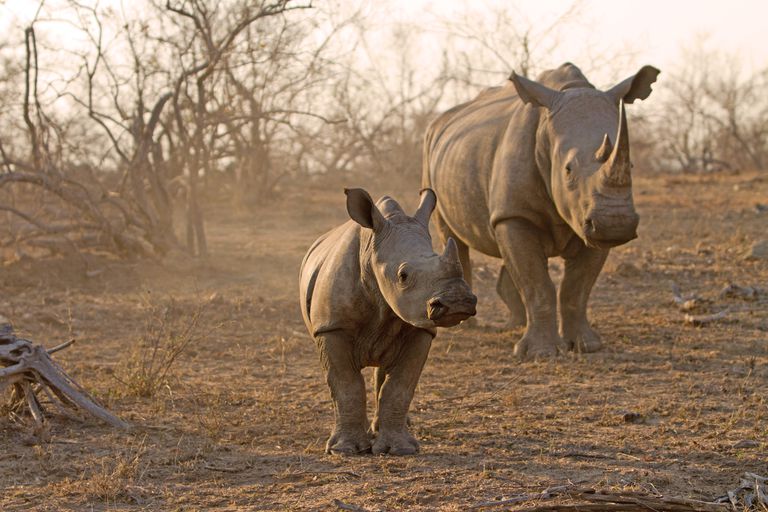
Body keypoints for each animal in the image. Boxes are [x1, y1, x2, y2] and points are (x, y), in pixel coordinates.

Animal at [298, 189, 474, 456]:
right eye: (403, 276)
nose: (457, 302)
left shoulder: (421, 329)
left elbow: (400, 386)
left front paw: (400, 449)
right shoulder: (331, 327)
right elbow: (346, 385)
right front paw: (345, 450)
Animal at [424, 64, 656, 358]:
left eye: (633, 166)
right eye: (568, 169)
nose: (616, 223)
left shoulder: (589, 222)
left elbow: (576, 287)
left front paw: (587, 346)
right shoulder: (515, 215)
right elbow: (537, 283)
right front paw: (540, 353)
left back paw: (515, 324)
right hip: (431, 156)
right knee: (452, 236)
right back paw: (465, 325)